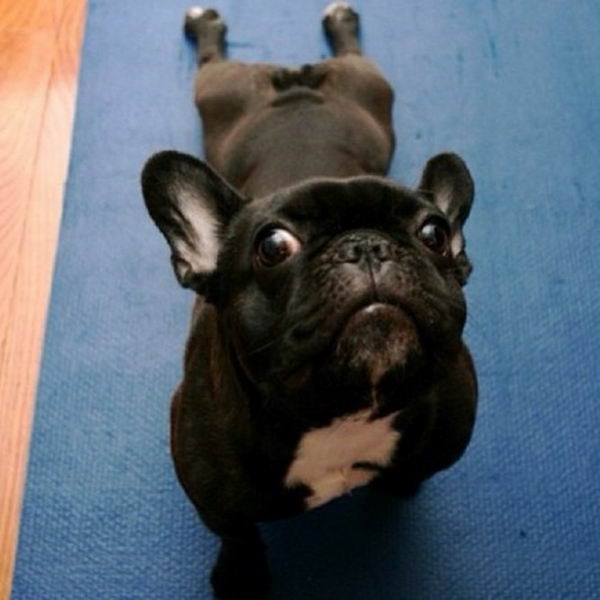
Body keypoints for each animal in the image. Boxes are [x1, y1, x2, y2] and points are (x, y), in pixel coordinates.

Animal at [141, 3, 478, 596]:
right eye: (273, 246)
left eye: (435, 233)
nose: (366, 244)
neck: (341, 412)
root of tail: (293, 81)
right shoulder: (215, 499)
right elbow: (238, 532)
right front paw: (242, 575)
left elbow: (413, 470)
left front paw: (399, 486)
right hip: (218, 93)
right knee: (211, 59)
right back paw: (206, 25)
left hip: (369, 88)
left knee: (351, 52)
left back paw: (339, 21)